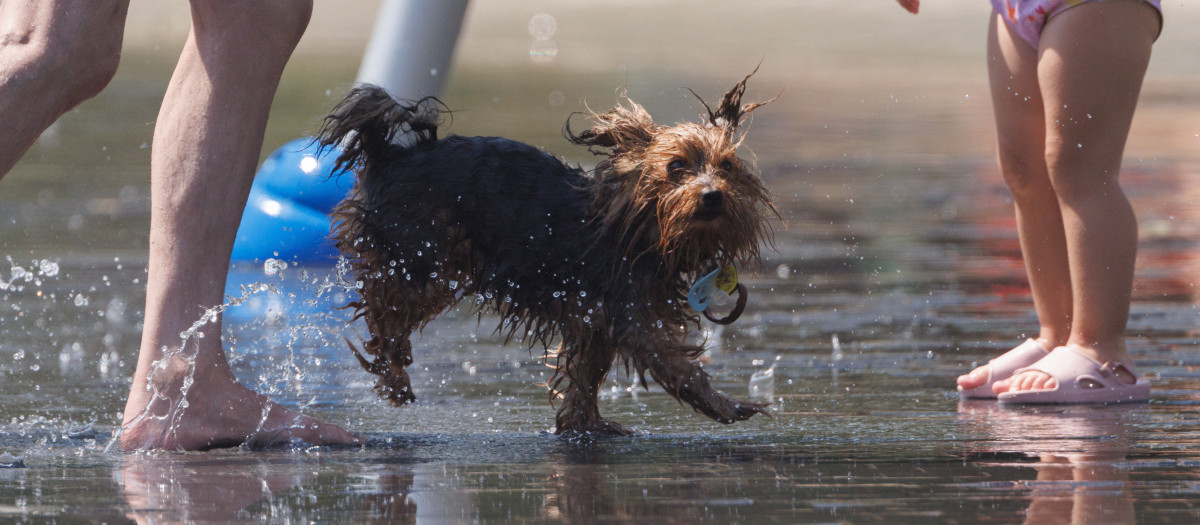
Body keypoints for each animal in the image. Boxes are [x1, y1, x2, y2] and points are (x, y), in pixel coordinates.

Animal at [314, 72, 772, 433]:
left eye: (727, 167)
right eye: (676, 166)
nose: (712, 195)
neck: (644, 231)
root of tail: (388, 155)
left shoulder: (595, 319)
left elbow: (585, 376)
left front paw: (584, 424)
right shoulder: (631, 312)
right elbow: (678, 366)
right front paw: (727, 404)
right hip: (419, 258)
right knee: (384, 311)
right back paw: (394, 375)